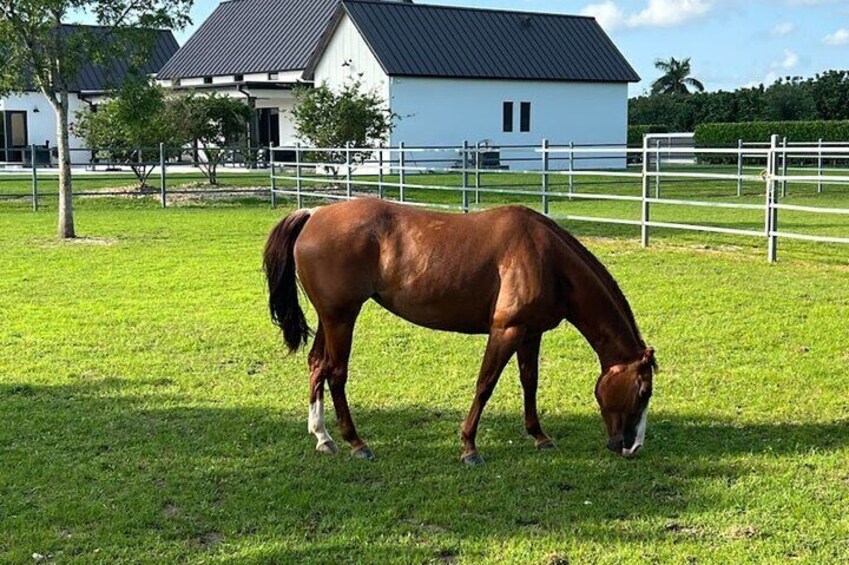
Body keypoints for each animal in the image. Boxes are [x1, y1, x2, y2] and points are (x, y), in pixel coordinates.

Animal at [264, 198, 656, 462]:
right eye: (643, 391)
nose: (632, 447)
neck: (548, 259)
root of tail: (314, 214)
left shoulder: (531, 332)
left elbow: (529, 381)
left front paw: (539, 436)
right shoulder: (506, 331)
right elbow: (485, 385)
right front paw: (469, 446)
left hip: (330, 318)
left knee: (317, 365)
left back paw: (323, 437)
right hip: (342, 317)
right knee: (336, 373)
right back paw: (356, 442)